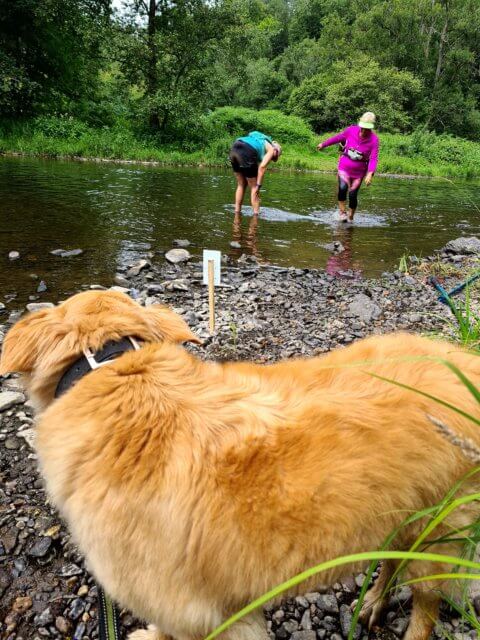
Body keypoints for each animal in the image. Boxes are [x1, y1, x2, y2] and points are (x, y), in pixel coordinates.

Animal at [0, 292, 480, 640]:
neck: (116, 370)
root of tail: (467, 363)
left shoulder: (203, 616)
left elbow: (173, 631)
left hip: (440, 536)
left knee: (427, 604)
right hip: (402, 514)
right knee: (392, 560)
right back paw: (374, 603)